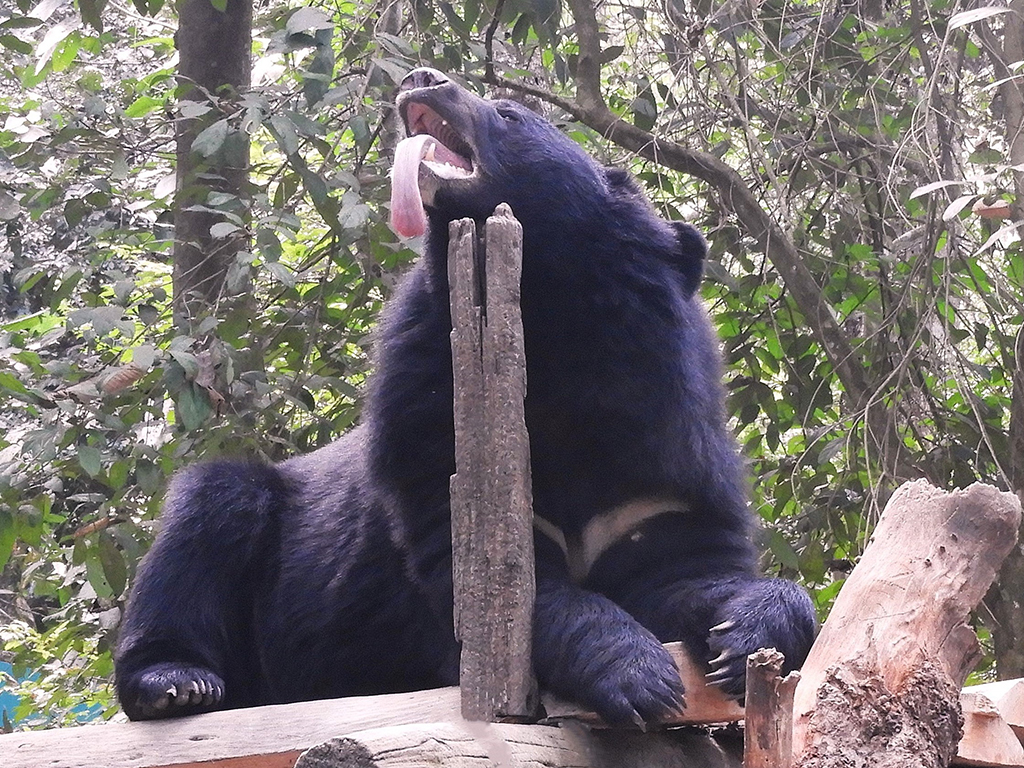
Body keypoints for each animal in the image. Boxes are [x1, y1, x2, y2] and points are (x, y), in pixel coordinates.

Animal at [114, 67, 815, 729]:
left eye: (507, 113)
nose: (419, 79)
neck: (552, 318)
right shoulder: (427, 408)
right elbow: (489, 579)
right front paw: (640, 677)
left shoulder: (663, 447)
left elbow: (689, 567)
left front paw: (746, 636)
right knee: (205, 519)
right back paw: (176, 682)